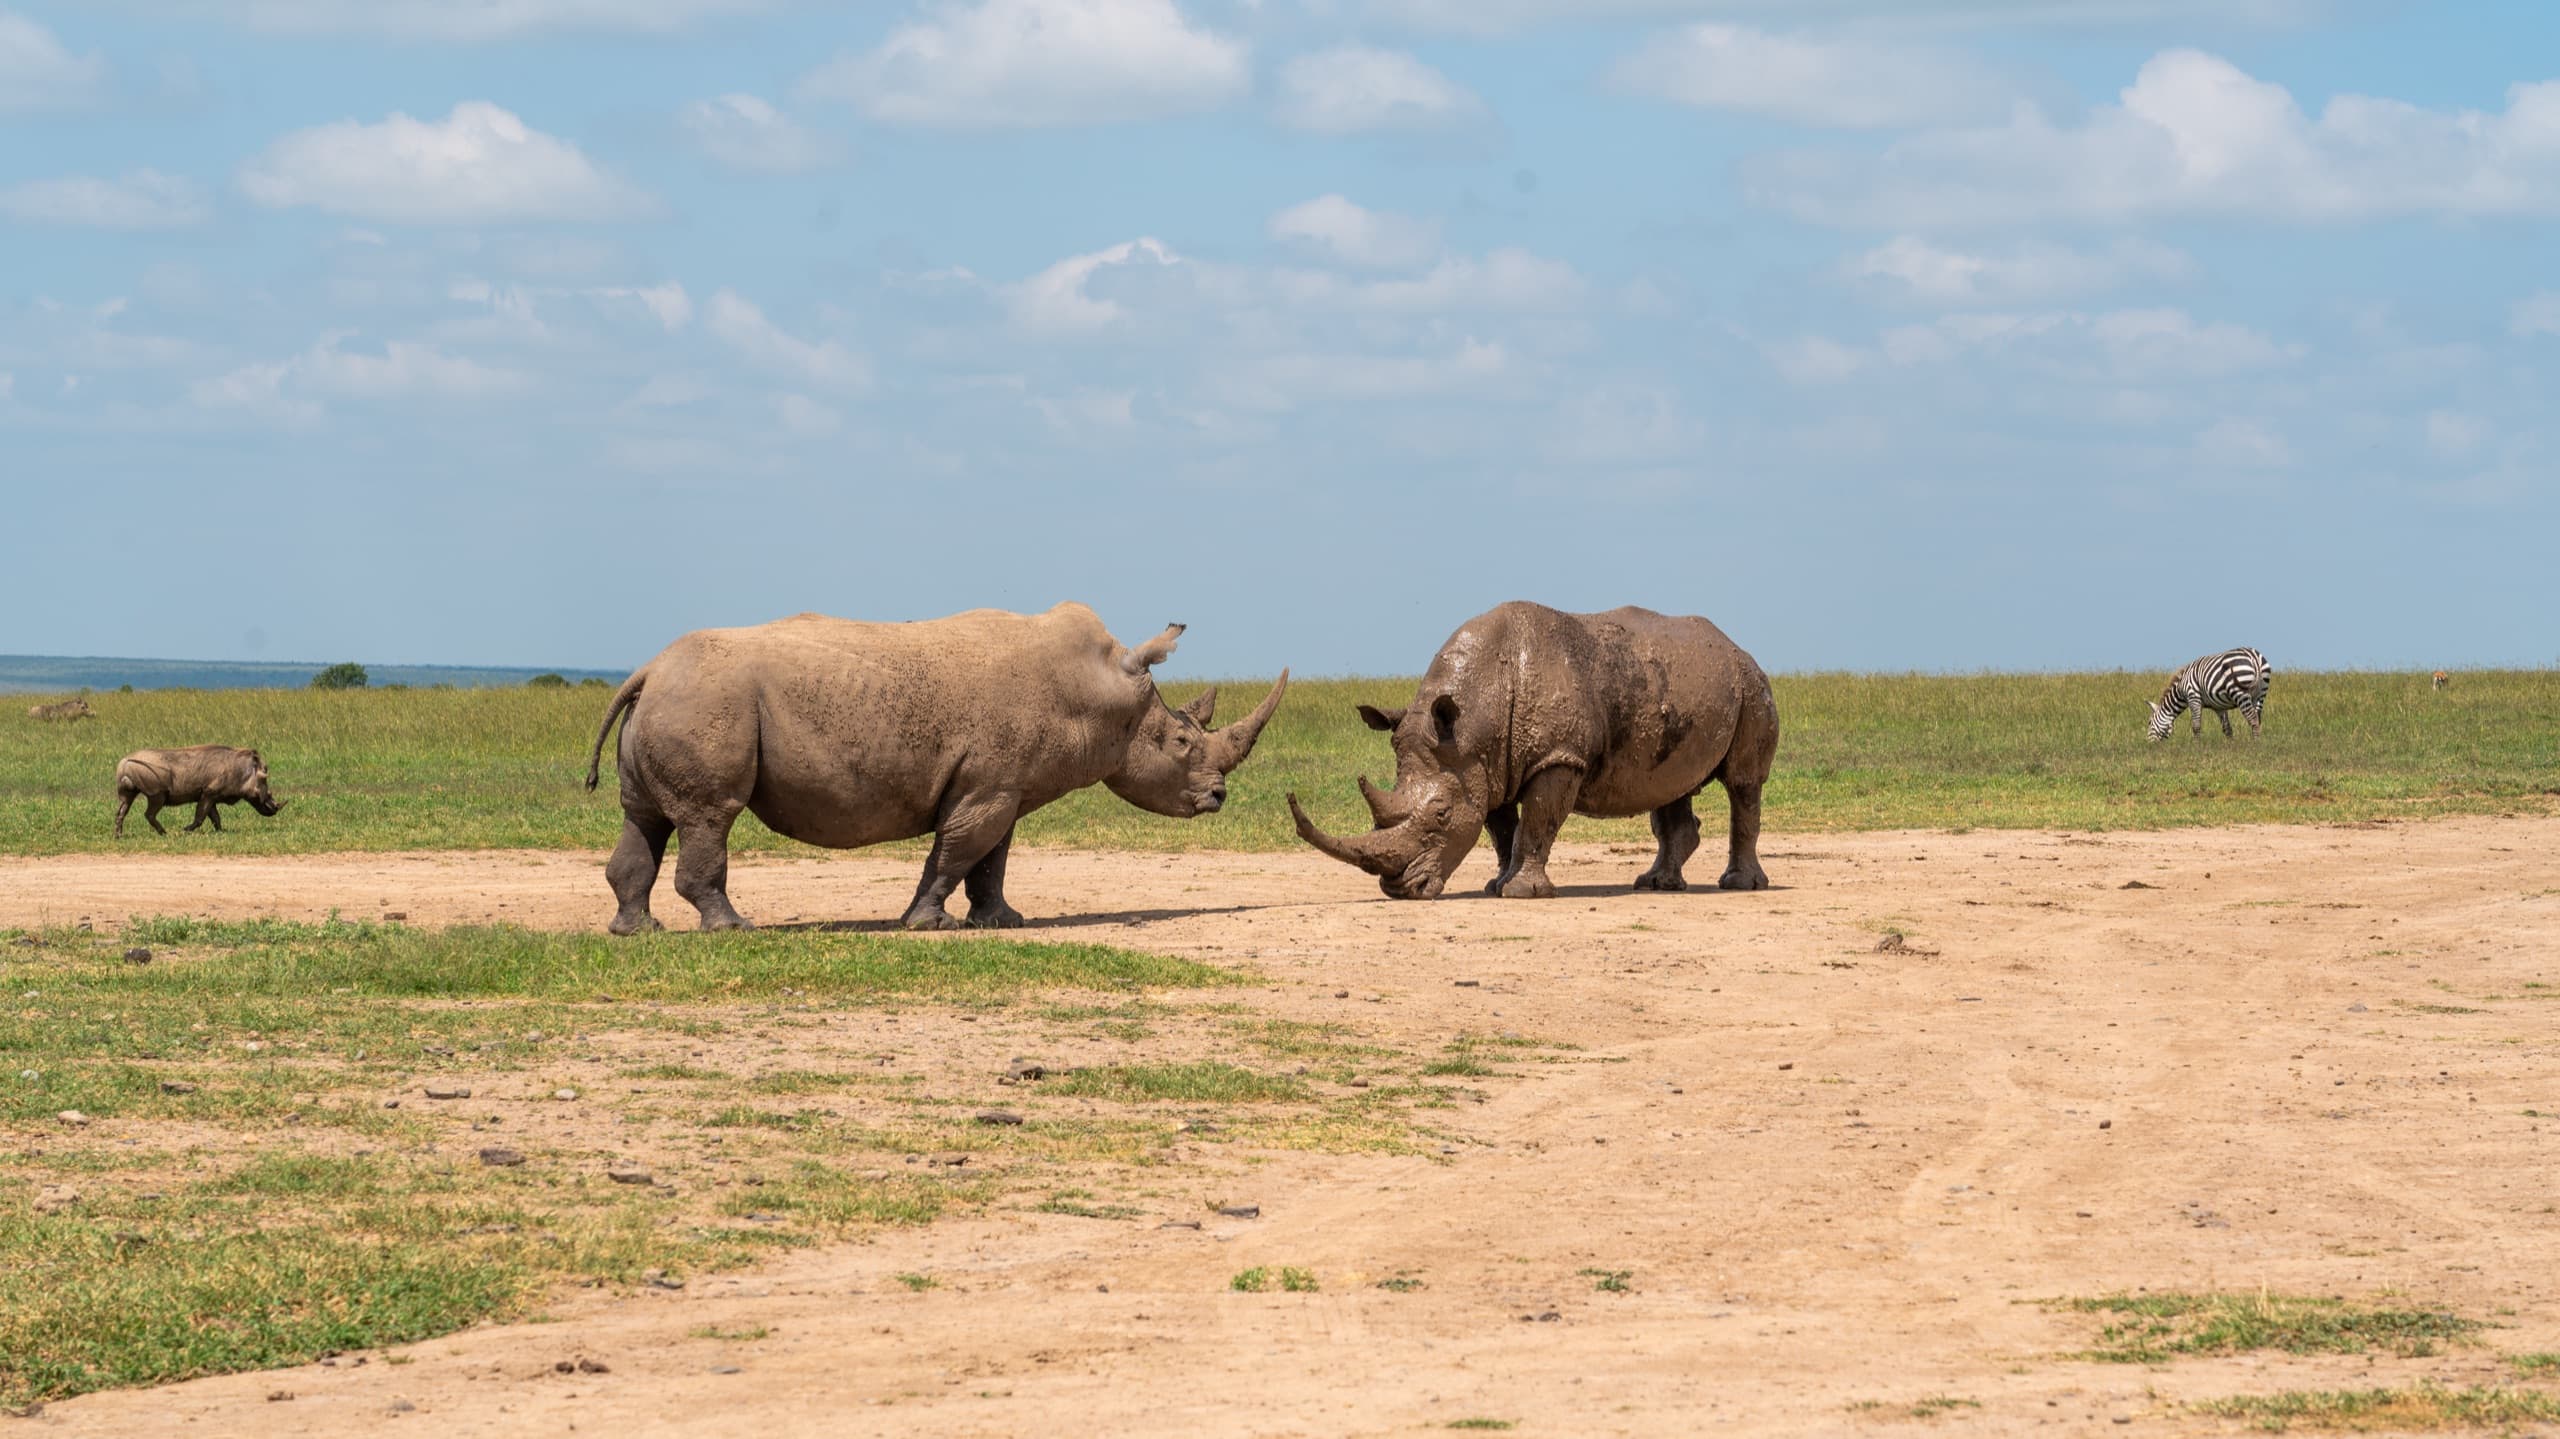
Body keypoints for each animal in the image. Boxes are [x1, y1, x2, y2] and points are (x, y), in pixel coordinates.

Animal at [114, 745, 287, 837]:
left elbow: (215, 818)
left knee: (120, 813)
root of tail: (125, 762)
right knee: (149, 814)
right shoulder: (208, 794)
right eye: (264, 776)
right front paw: (185, 830)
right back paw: (165, 833)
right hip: (157, 796)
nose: (275, 809)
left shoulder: (211, 797)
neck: (240, 771)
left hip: (127, 794)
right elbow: (200, 817)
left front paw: (221, 832)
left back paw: (118, 836)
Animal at [584, 604, 1287, 934]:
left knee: (644, 817)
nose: (1218, 797)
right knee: (711, 816)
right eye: (1180, 742)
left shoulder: (1006, 783)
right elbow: (957, 851)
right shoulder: (989, 785)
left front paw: (1002, 922)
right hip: (708, 701)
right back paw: (734, 929)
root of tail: (647, 669)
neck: (1099, 688)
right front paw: (929, 924)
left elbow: (992, 859)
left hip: (680, 699)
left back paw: (637, 931)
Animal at [1289, 602, 1778, 901]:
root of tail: (1736, 646)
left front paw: (1521, 892)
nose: (1397, 888)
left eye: (1441, 815)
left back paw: (1739, 886)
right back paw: (1656, 885)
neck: (1474, 717)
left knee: (1743, 783)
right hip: (1684, 683)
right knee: (1672, 785)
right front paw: (1496, 884)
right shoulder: (1486, 767)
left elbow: (1538, 821)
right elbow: (1502, 829)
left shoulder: (1557, 757)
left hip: (1752, 685)